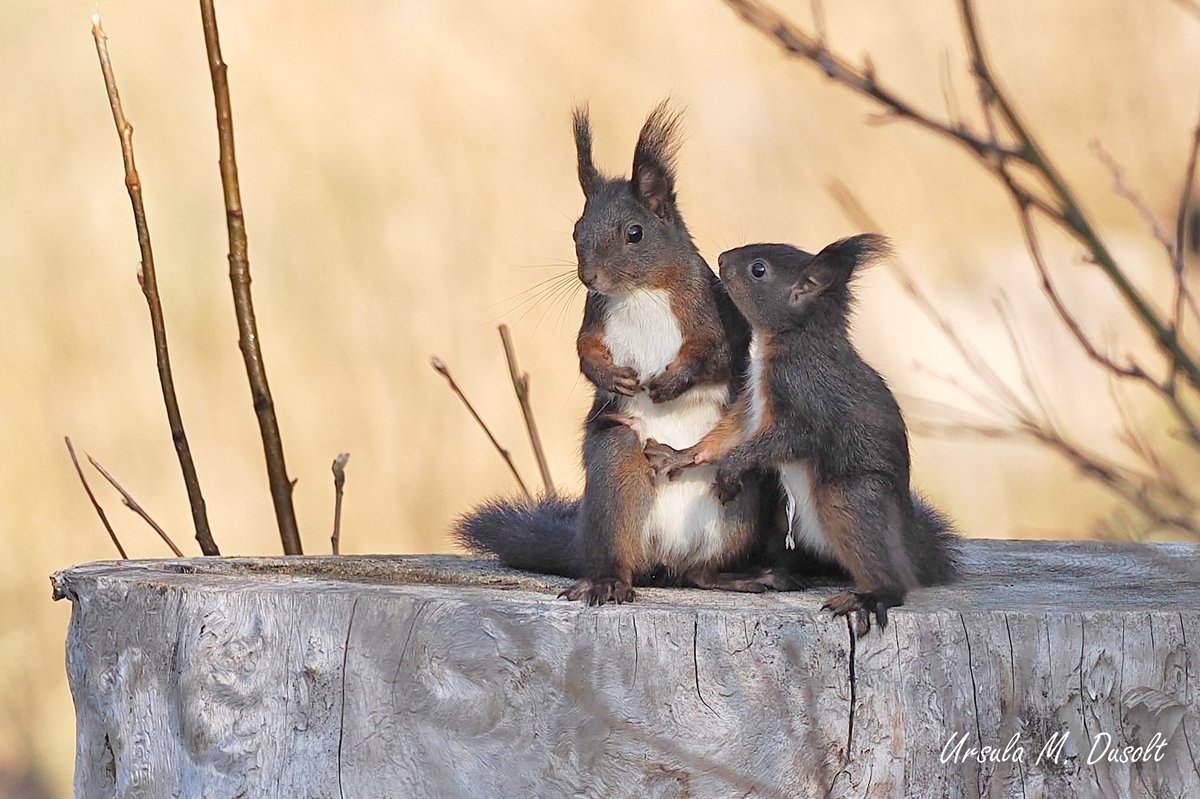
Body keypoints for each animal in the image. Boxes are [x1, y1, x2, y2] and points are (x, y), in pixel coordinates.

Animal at [453, 102, 786, 604]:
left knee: (700, 572)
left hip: (738, 501)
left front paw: (672, 381)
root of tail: (667, 555)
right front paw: (611, 378)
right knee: (621, 552)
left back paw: (739, 577)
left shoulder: (717, 315)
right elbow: (583, 350)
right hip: (617, 471)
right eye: (576, 231)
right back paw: (608, 580)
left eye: (635, 233)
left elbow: (717, 355)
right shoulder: (596, 316)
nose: (589, 276)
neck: (639, 292)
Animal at [644, 234, 960, 633]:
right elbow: (726, 435)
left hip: (851, 499)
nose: (723, 258)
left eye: (758, 270)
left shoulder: (805, 399)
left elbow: (781, 442)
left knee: (888, 575)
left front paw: (731, 469)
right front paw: (680, 455)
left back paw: (867, 597)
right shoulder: (752, 406)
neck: (792, 340)